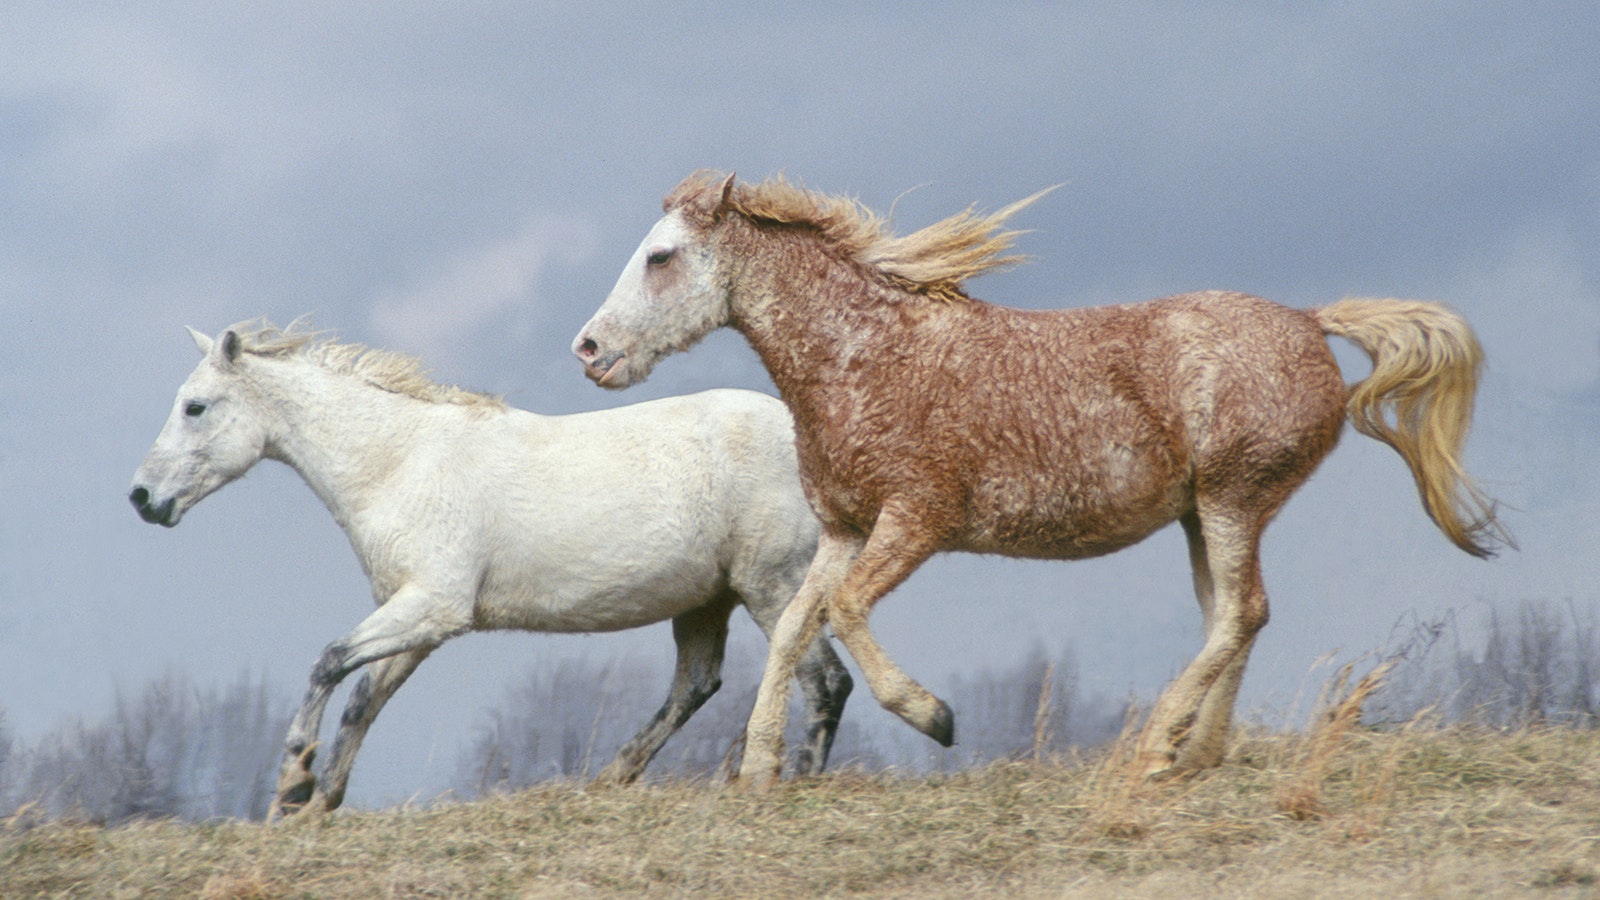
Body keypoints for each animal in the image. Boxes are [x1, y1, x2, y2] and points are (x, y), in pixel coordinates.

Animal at [128, 320, 851, 813]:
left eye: (195, 407)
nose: (141, 498)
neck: (399, 462)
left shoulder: (433, 607)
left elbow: (329, 662)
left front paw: (294, 780)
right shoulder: (414, 620)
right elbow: (364, 700)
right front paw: (318, 801)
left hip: (772, 588)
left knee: (823, 682)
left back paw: (798, 783)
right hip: (706, 601)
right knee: (696, 686)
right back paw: (611, 778)